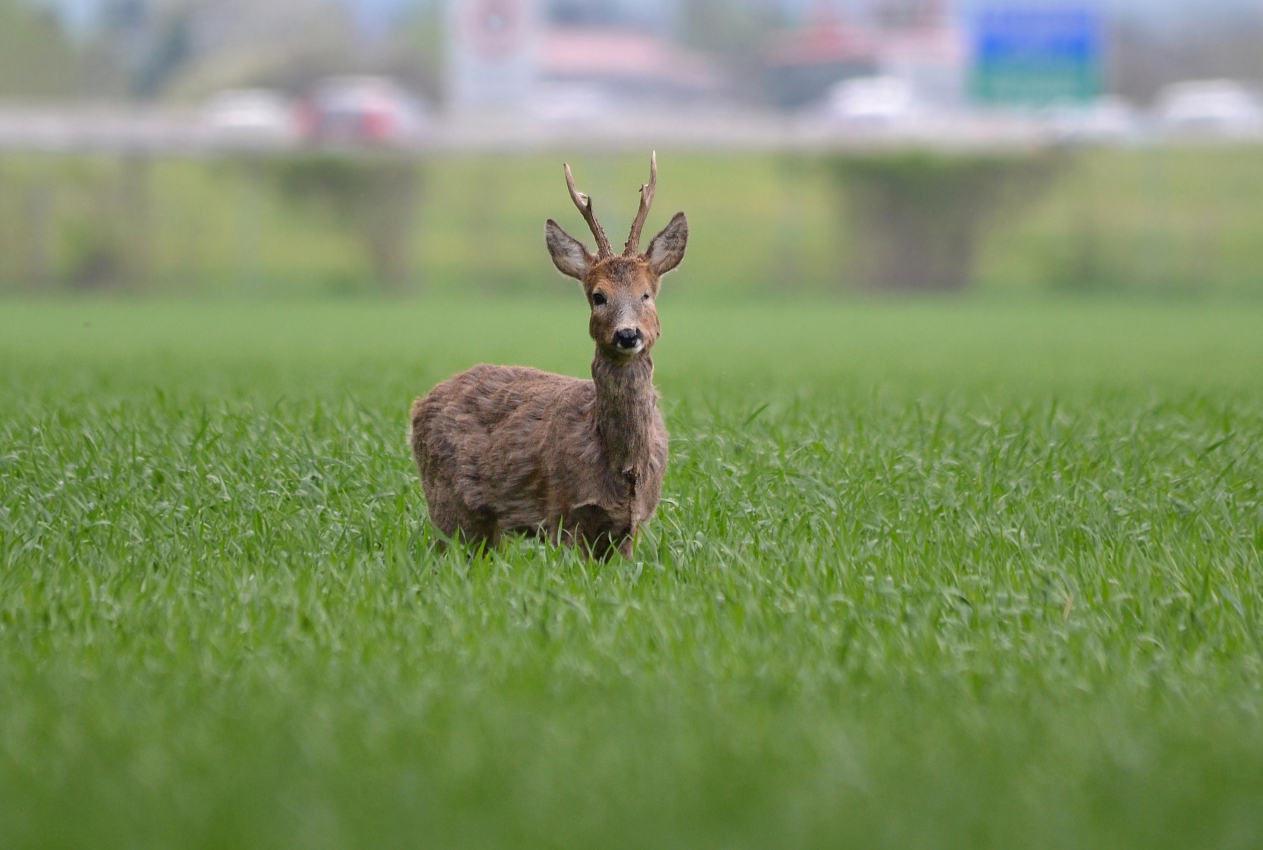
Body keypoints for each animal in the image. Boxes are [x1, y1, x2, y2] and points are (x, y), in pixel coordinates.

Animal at [411, 154, 692, 560]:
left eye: (647, 294)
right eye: (598, 296)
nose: (627, 334)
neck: (622, 468)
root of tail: (418, 405)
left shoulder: (633, 524)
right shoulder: (563, 510)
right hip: (446, 502)